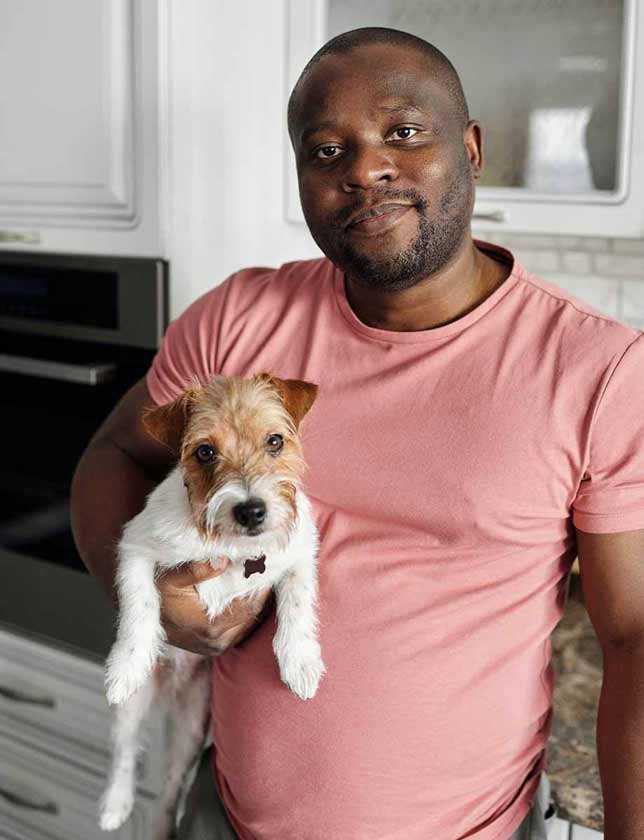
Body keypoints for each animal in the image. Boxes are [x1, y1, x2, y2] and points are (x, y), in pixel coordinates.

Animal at [98, 374, 324, 840]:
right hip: (134, 710)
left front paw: (300, 663)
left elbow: (297, 604)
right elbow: (141, 607)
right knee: (125, 751)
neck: (229, 544)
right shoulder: (136, 548)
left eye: (275, 441)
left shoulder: (299, 553)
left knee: (170, 786)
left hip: (191, 726)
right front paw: (127, 664)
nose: (251, 510)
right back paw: (115, 805)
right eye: (205, 451)